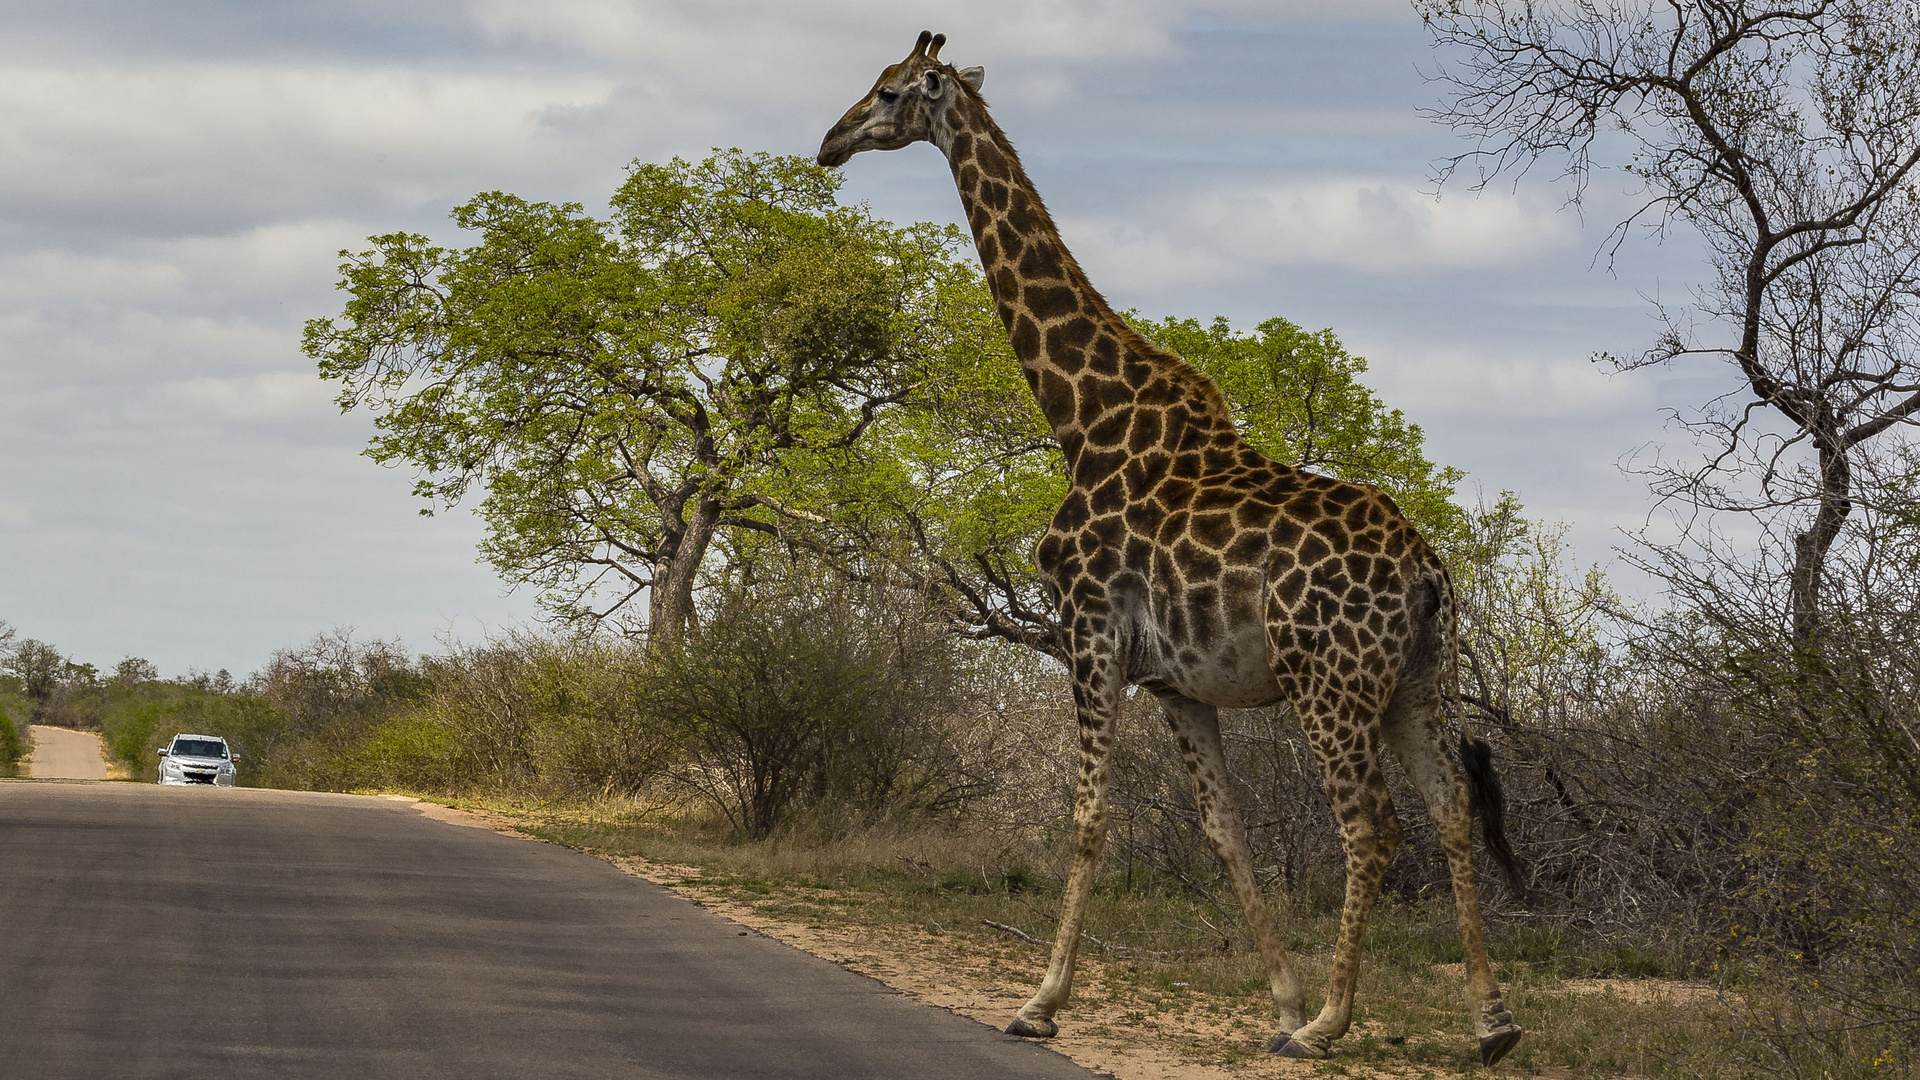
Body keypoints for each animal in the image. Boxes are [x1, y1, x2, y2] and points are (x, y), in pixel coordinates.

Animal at [817, 31, 1520, 1060]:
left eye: (891, 91)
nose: (828, 142)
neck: (1082, 417)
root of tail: (1428, 570)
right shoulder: (1176, 681)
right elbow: (1223, 829)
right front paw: (1276, 1001)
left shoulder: (1089, 628)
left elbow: (1087, 815)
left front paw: (1040, 1002)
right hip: (1415, 679)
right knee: (1451, 806)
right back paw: (1489, 1021)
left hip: (1329, 683)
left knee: (1372, 823)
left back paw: (1332, 1024)